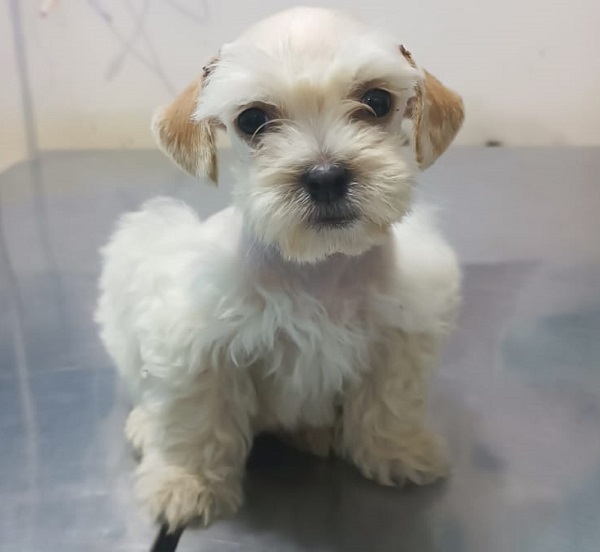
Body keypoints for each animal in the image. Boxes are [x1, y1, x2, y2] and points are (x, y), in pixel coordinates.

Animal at [96, 6, 464, 532]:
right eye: (252, 119)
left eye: (377, 100)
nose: (326, 176)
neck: (318, 268)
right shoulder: (195, 345)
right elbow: (196, 423)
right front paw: (187, 484)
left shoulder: (400, 334)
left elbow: (390, 402)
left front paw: (398, 451)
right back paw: (147, 423)